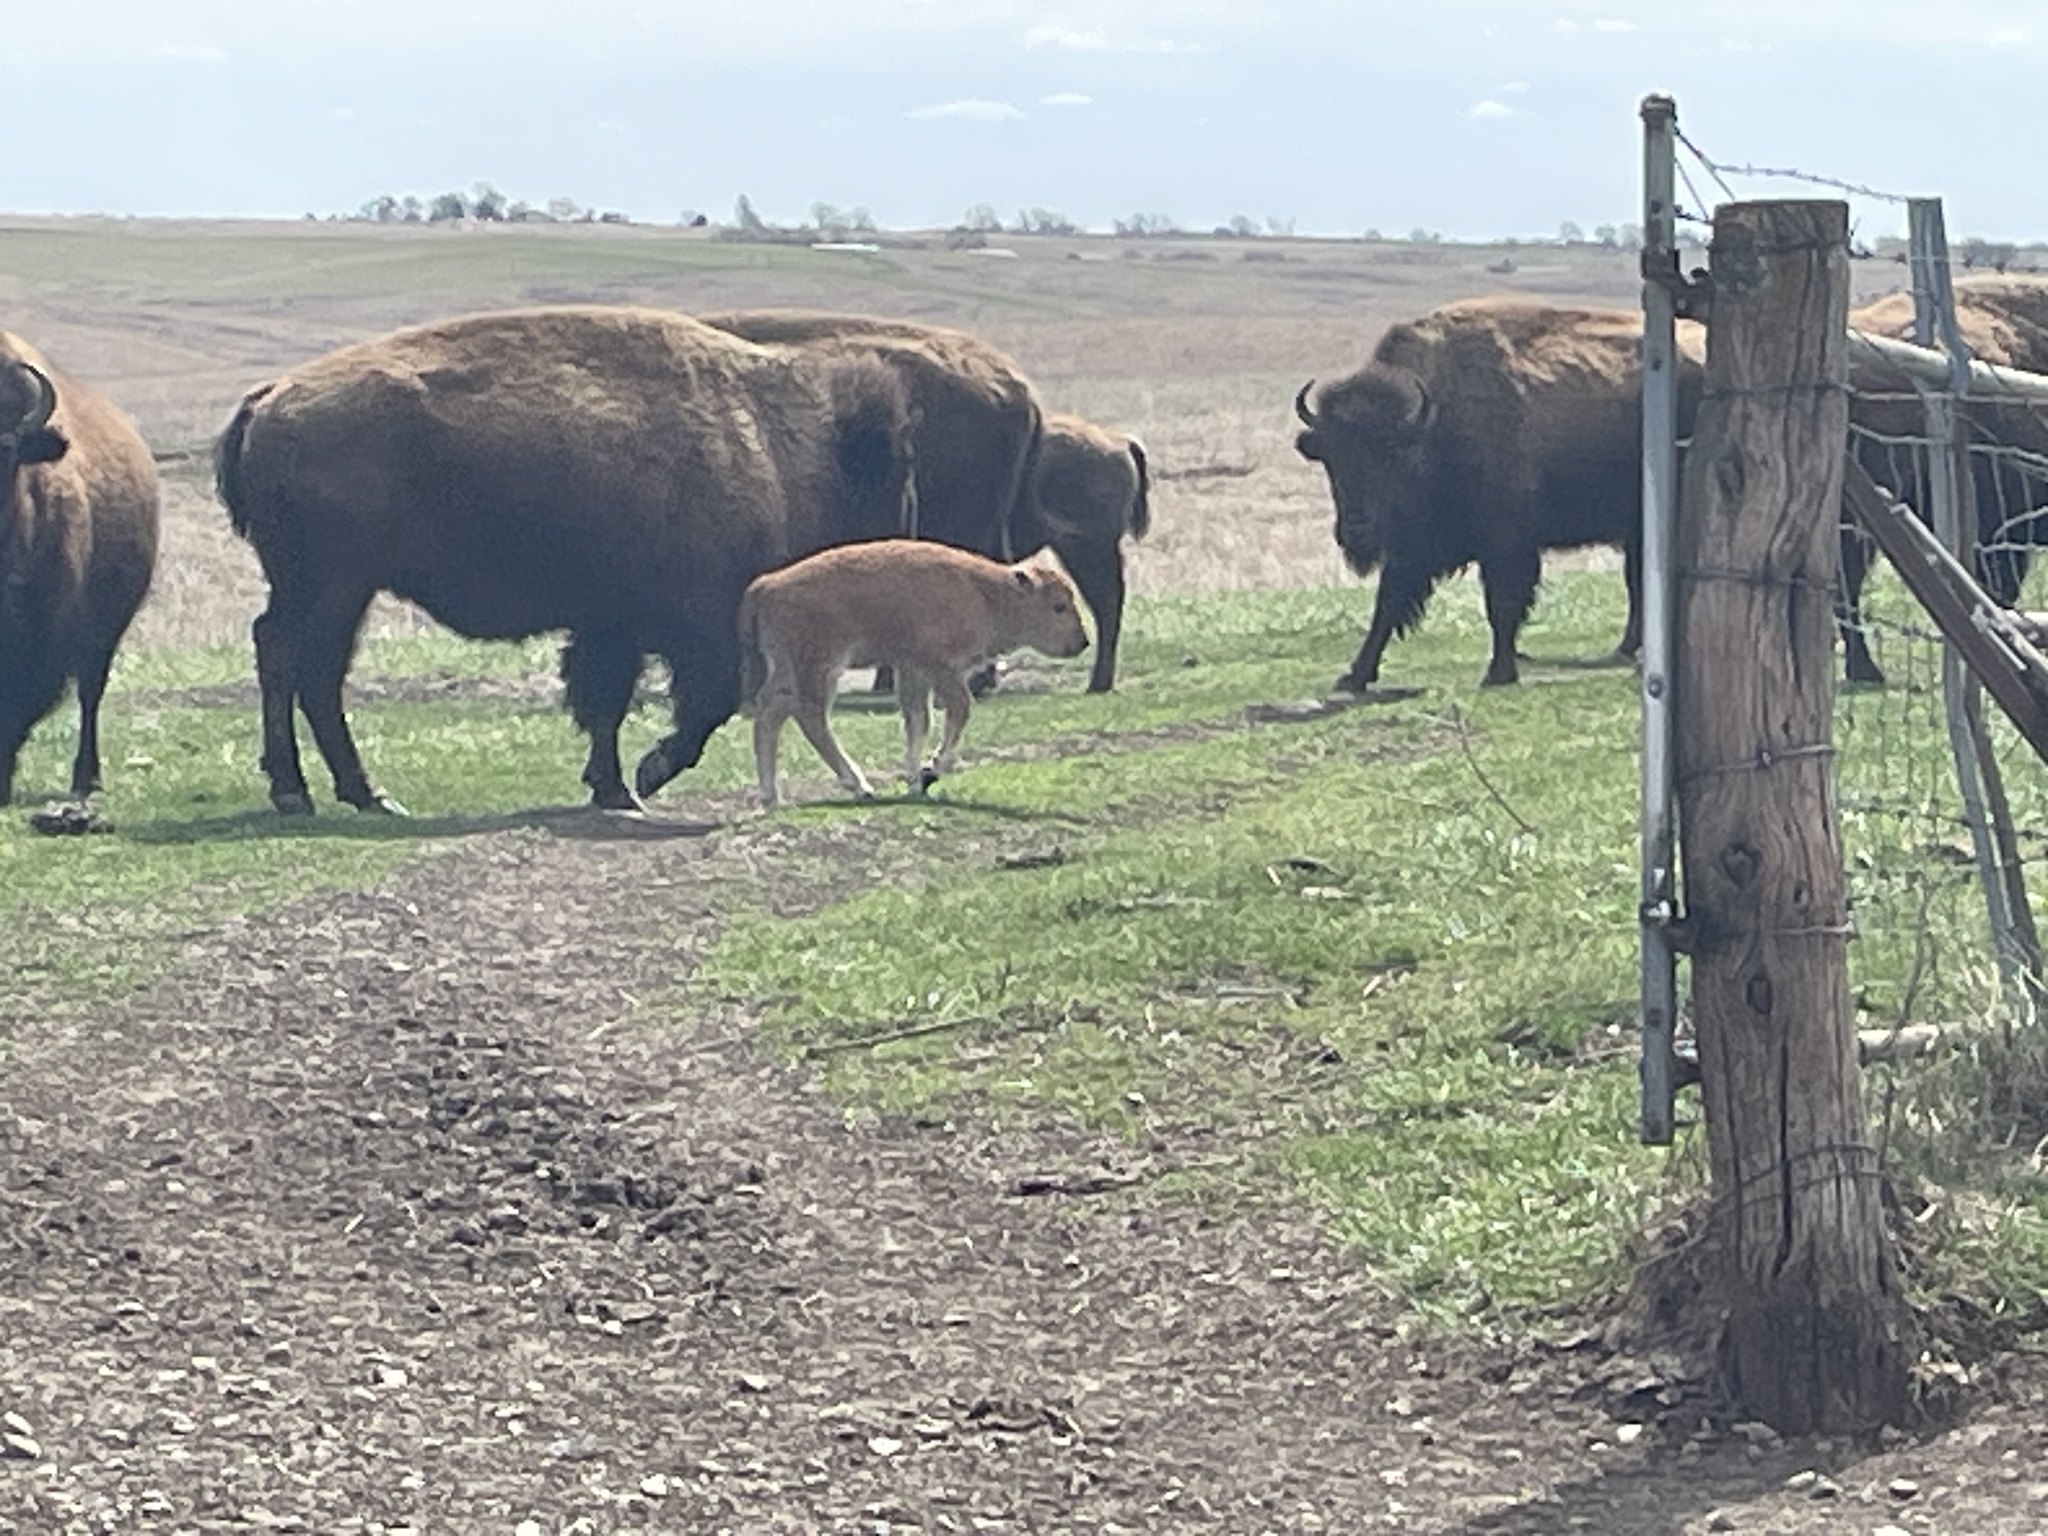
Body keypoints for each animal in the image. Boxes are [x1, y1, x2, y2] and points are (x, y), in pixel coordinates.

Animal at [213, 305, 917, 816]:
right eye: (886, 488)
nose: (902, 550)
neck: (779, 445)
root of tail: (270, 399)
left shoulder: (611, 626)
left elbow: (605, 702)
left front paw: (614, 786)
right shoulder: (689, 627)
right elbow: (693, 704)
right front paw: (644, 777)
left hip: (329, 589)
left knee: (294, 661)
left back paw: (343, 794)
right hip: (333, 586)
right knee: (303, 665)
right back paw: (327, 794)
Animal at [741, 540, 1089, 807]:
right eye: (1058, 606)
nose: (1083, 641)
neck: (986, 594)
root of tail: (765, 585)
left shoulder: (912, 671)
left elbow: (918, 720)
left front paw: (913, 778)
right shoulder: (939, 668)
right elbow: (959, 708)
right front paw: (931, 769)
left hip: (789, 669)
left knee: (771, 712)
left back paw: (771, 796)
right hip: (822, 668)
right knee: (809, 716)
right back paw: (859, 786)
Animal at [1293, 298, 1705, 691]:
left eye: (1390, 458)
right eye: (1333, 459)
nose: (1357, 531)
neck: (1434, 422)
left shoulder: (1504, 544)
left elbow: (1501, 605)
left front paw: (1499, 672)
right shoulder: (1411, 550)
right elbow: (1387, 606)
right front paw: (1354, 676)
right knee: (1638, 584)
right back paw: (1624, 649)